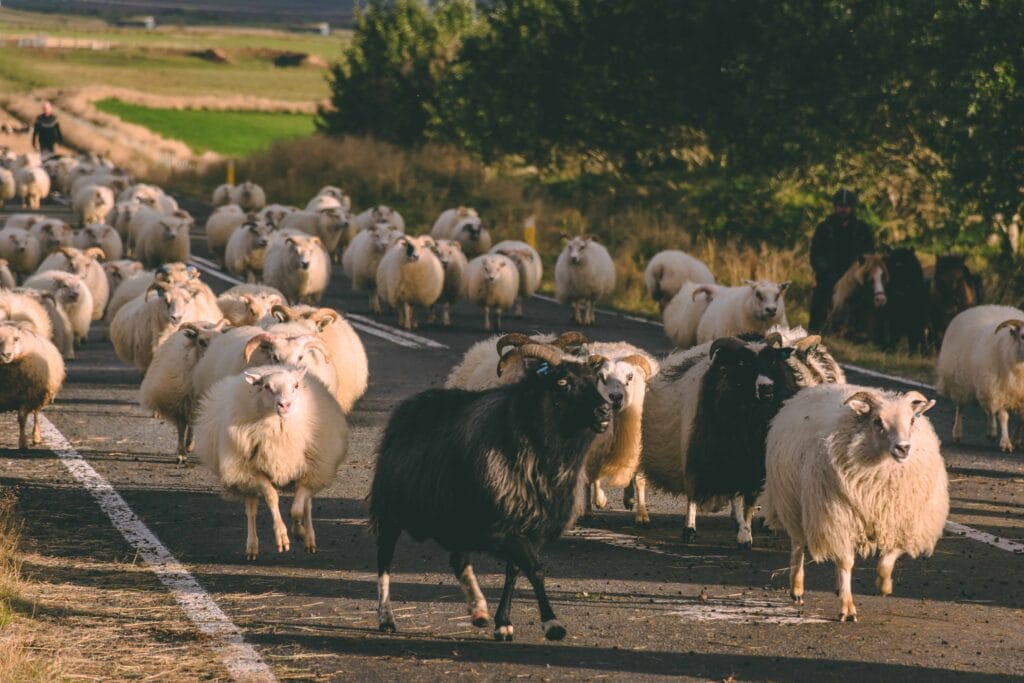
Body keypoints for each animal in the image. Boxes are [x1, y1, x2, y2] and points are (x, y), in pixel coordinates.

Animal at [141, 321, 231, 464]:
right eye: (201, 342)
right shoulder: (179, 401)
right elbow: (181, 427)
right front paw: (181, 454)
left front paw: (188, 446)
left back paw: (190, 444)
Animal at [193, 366, 350, 557]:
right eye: (266, 386)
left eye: (296, 385)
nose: (285, 405)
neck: (281, 429)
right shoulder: (253, 472)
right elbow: (272, 497)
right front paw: (282, 537)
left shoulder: (310, 470)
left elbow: (297, 509)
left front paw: (299, 531)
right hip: (244, 477)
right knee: (251, 510)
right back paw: (252, 547)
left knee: (307, 505)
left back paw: (309, 540)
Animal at [368, 348, 606, 643]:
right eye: (562, 382)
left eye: (595, 380)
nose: (604, 410)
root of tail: (410, 404)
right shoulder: (503, 526)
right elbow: (535, 569)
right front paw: (552, 624)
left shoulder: (529, 526)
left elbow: (514, 571)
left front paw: (503, 623)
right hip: (390, 508)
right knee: (384, 560)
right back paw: (386, 618)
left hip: (456, 517)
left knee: (458, 560)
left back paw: (479, 610)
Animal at [765, 387, 946, 622]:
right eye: (877, 421)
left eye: (912, 420)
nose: (903, 448)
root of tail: (811, 390)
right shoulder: (838, 518)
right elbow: (846, 563)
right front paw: (847, 607)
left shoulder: (901, 520)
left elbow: (890, 555)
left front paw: (884, 584)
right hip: (792, 503)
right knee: (798, 545)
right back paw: (797, 587)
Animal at [937, 307, 1024, 450]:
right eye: (1022, 336)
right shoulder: (1000, 389)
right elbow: (1003, 417)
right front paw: (1006, 443)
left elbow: (1021, 419)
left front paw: (1016, 440)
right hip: (962, 382)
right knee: (961, 408)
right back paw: (958, 433)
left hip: (984, 384)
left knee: (989, 410)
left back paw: (991, 432)